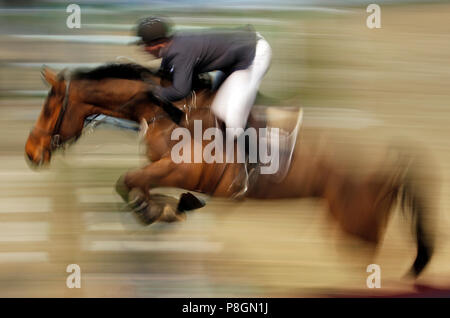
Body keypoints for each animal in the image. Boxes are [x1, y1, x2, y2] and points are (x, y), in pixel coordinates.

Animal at [24, 63, 436, 278]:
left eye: (49, 108)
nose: (30, 153)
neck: (163, 111)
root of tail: (387, 157)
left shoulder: (180, 170)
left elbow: (128, 181)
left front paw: (157, 212)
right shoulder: (161, 168)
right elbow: (136, 185)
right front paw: (168, 209)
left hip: (355, 219)